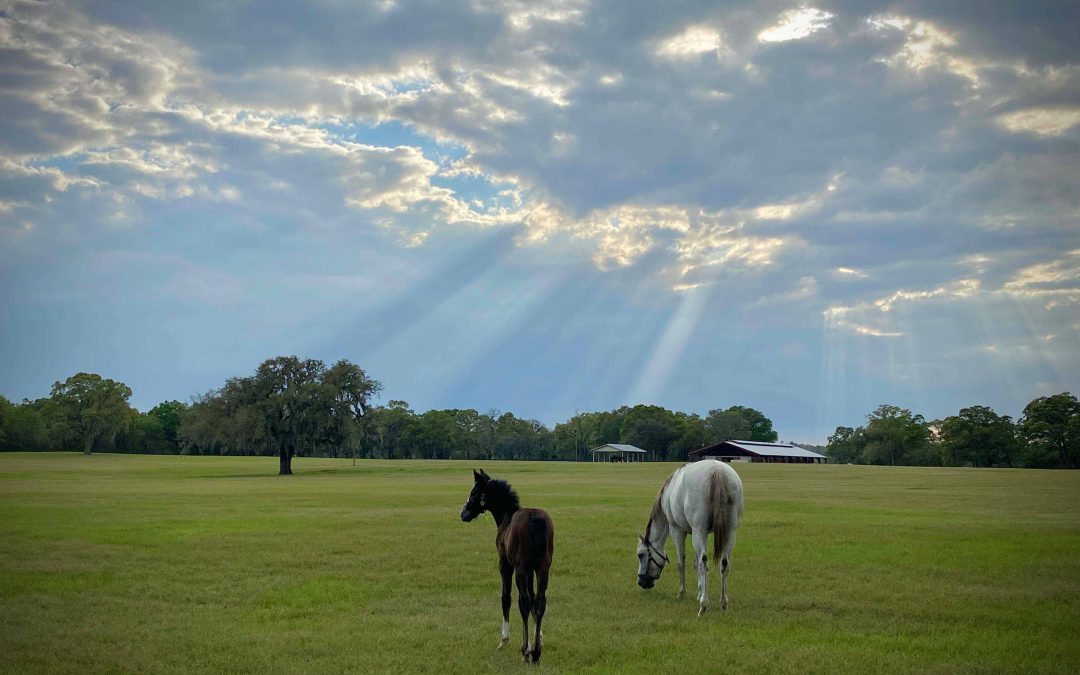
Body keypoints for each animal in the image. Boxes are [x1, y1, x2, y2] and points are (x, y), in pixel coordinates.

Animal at [460, 466, 552, 660]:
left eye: (474, 492)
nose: (463, 514)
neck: (506, 517)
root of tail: (535, 520)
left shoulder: (505, 564)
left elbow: (506, 597)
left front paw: (504, 640)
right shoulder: (531, 569)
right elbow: (534, 598)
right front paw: (539, 638)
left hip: (520, 569)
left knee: (523, 602)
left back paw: (526, 650)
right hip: (543, 568)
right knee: (540, 601)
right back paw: (536, 651)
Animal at [639, 460, 743, 613]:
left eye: (640, 555)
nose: (641, 582)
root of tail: (717, 472)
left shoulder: (678, 531)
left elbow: (681, 562)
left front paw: (682, 593)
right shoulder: (697, 533)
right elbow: (696, 563)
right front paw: (700, 592)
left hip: (699, 531)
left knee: (704, 561)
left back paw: (703, 605)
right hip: (728, 532)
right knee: (723, 563)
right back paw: (723, 603)